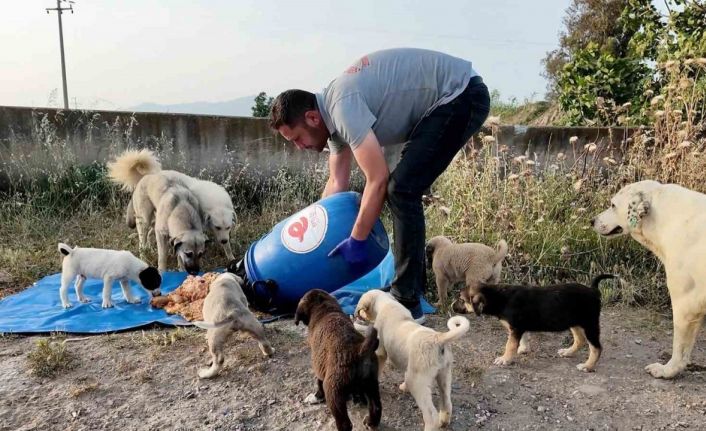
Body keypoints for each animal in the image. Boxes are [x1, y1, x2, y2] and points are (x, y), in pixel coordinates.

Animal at [292, 290, 380, 431]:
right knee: (376, 406)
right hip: (371, 383)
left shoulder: (318, 366)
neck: (324, 309)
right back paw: (371, 422)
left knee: (344, 423)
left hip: (334, 391)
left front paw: (317, 396)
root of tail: (359, 350)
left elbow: (318, 382)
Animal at [354, 290, 470, 431]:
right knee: (447, 403)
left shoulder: (381, 352)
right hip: (444, 375)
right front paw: (404, 387)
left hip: (417, 381)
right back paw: (444, 422)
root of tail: (438, 338)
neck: (386, 303)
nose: (358, 316)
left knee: (431, 415)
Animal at [460, 276, 612, 372]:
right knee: (580, 340)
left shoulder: (516, 328)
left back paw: (587, 366)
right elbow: (523, 338)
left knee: (596, 348)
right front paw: (523, 349)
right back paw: (568, 352)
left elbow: (510, 345)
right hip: (574, 322)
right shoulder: (519, 328)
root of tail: (593, 290)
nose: (454, 309)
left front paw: (505, 359)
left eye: (461, 300)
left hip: (590, 324)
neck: (499, 296)